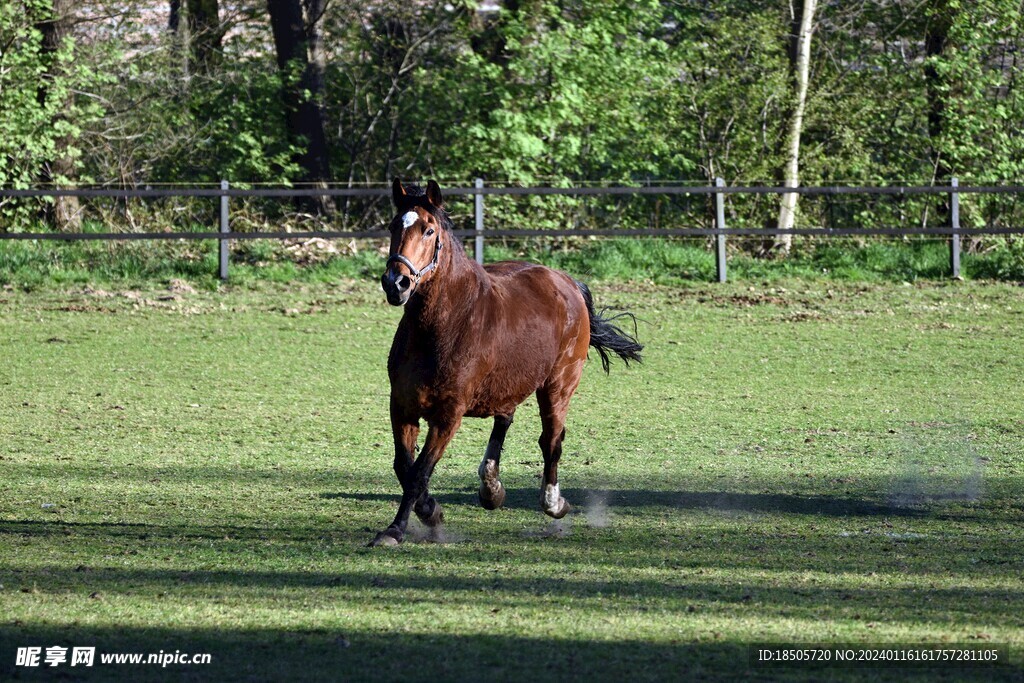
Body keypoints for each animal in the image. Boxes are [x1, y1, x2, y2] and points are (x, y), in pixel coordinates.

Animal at [368, 179, 638, 548]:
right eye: (394, 225)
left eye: (429, 230)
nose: (396, 283)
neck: (443, 327)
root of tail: (566, 282)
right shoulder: (402, 406)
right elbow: (403, 467)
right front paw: (430, 511)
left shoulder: (448, 415)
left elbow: (419, 471)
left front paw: (397, 529)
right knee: (505, 418)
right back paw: (491, 488)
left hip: (558, 385)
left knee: (551, 439)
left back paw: (553, 503)